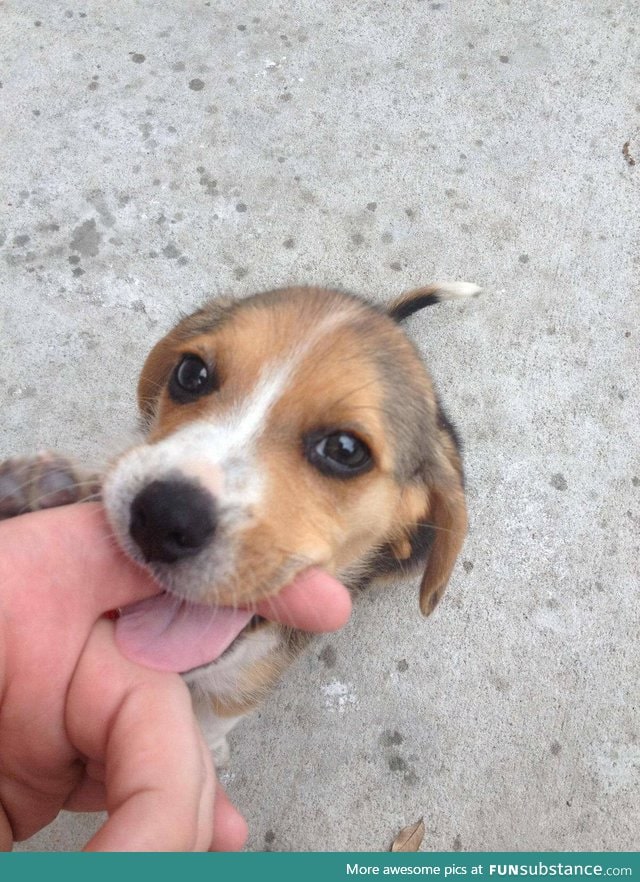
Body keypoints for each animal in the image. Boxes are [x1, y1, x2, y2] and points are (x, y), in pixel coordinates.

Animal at [1, 282, 480, 764]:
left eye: (344, 450)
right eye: (191, 373)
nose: (162, 516)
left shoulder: (243, 685)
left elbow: (213, 720)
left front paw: (208, 752)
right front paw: (35, 496)